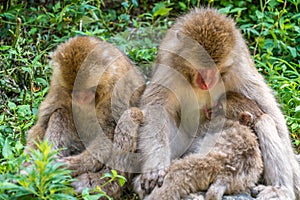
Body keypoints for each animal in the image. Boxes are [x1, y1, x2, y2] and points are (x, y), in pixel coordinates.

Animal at [25, 36, 145, 198]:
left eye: (86, 88)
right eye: (74, 89)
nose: (79, 97)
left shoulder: (118, 88)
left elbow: (109, 129)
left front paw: (74, 165)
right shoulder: (58, 83)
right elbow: (43, 121)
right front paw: (30, 167)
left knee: (130, 117)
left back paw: (102, 184)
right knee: (61, 113)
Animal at [135, 7, 300, 199]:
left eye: (215, 69)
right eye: (202, 69)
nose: (208, 82)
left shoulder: (238, 67)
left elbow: (269, 110)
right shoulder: (170, 65)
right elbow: (157, 106)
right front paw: (155, 167)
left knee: (265, 120)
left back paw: (281, 188)